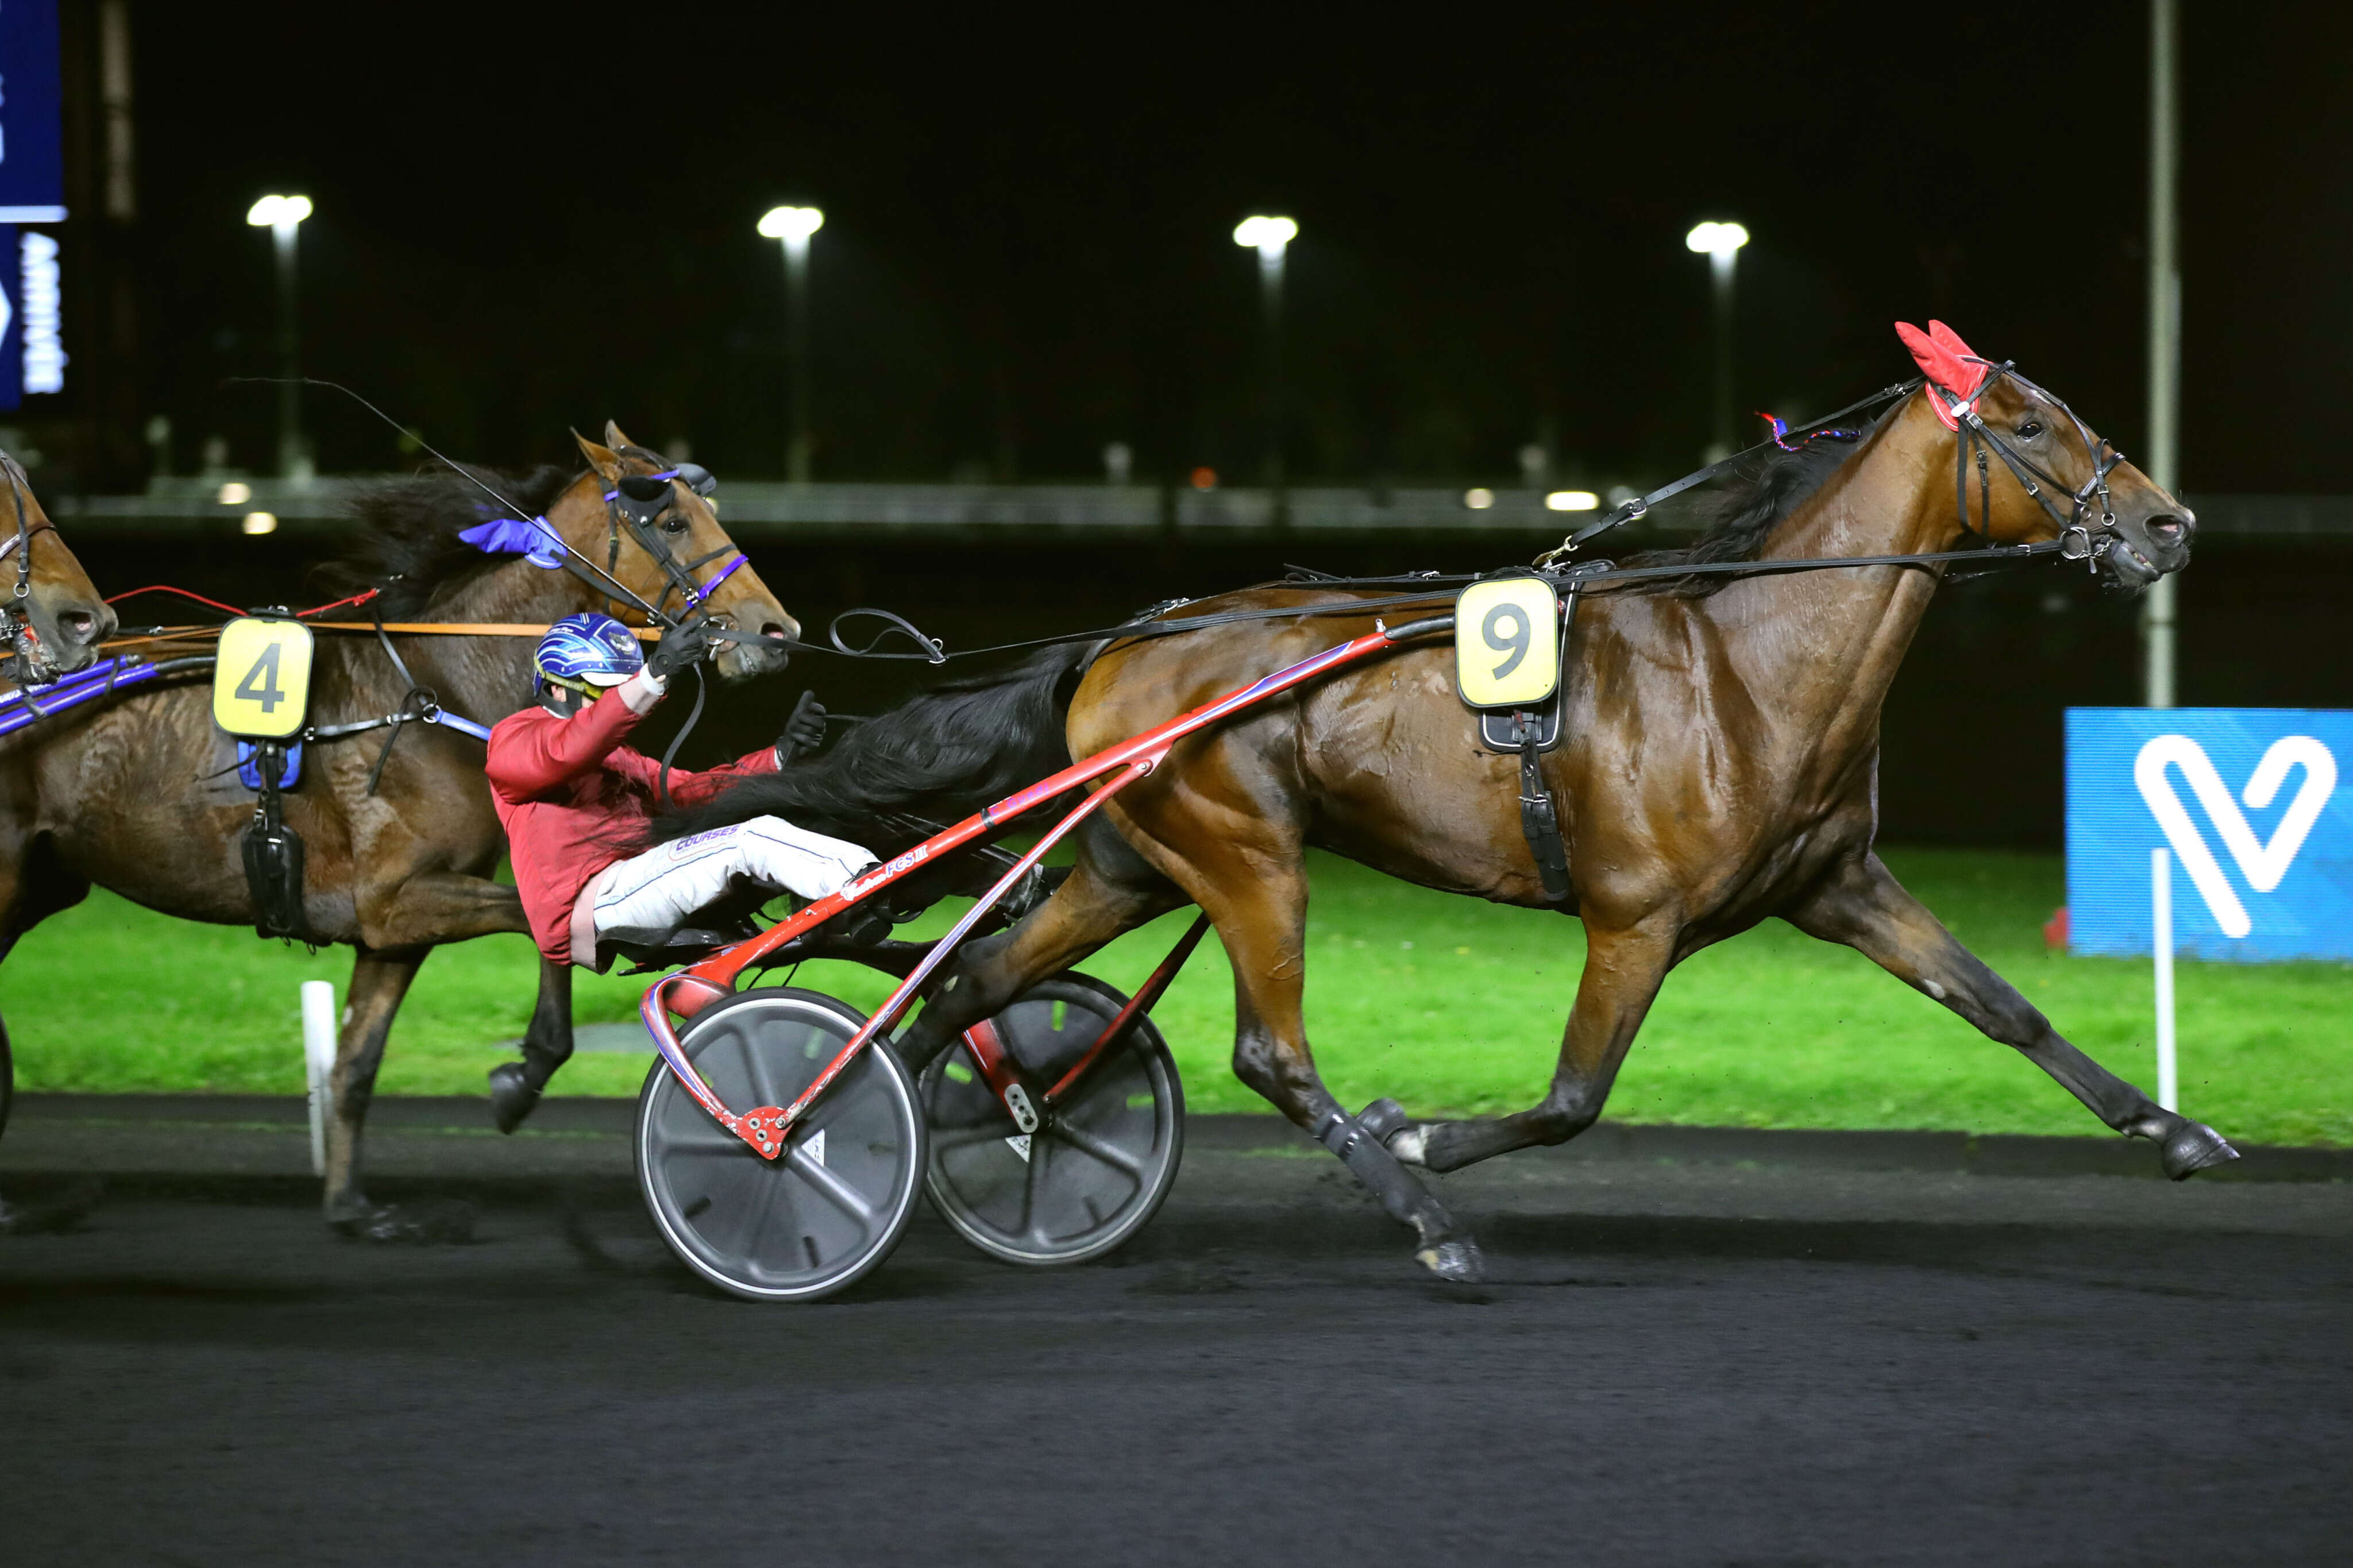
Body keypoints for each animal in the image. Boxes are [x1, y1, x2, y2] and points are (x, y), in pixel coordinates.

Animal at [0, 423, 800, 1231]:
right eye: (671, 522)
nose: (777, 629)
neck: (437, 688)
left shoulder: (393, 931)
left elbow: (357, 1059)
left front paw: (353, 1206)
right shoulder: (395, 900)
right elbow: (547, 925)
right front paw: (525, 1074)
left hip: (44, 884)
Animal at [658, 329, 2221, 1279]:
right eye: (2030, 423)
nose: (2167, 523)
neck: (1746, 662)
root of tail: (1118, 644)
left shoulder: (1837, 885)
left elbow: (2004, 1010)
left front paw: (2177, 1135)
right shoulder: (1634, 918)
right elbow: (1573, 1099)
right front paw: (1415, 1139)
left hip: (1130, 862)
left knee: (968, 986)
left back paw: (921, 1137)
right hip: (1249, 854)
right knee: (1267, 1054)